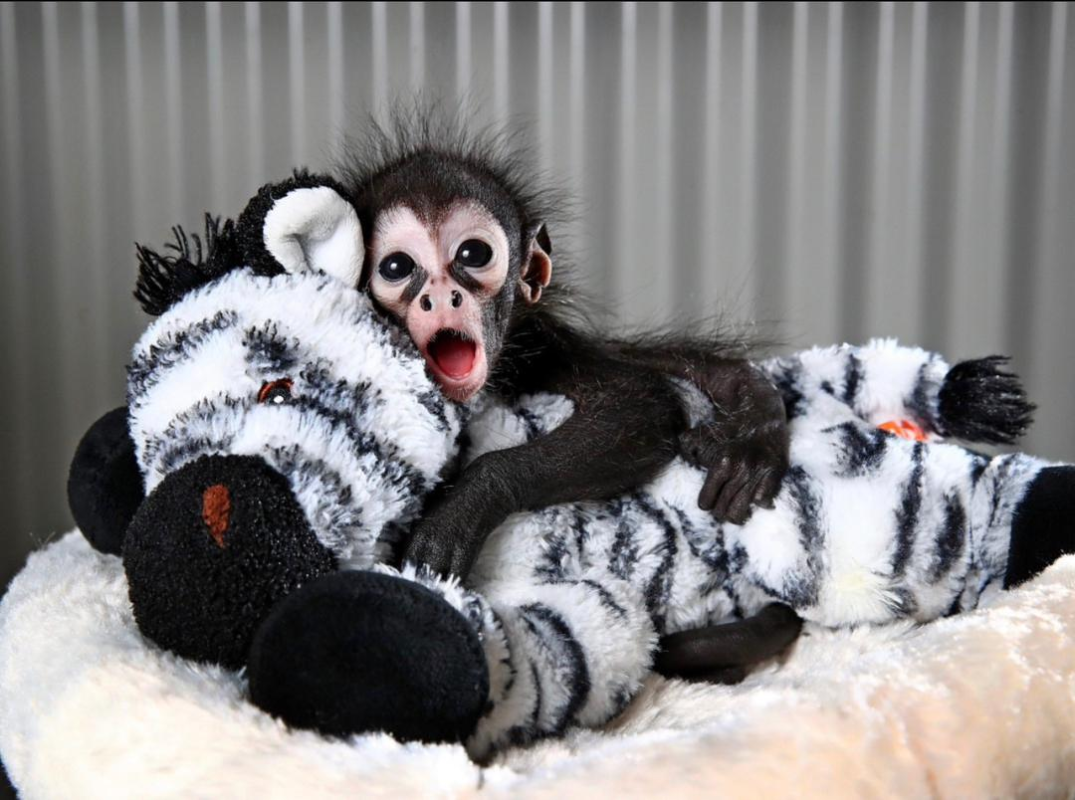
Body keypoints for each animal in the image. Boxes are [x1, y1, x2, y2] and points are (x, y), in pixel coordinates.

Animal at [340, 105, 799, 679]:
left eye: (473, 253)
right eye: (398, 268)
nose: (440, 296)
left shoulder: (538, 341)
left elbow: (639, 404)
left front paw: (460, 511)